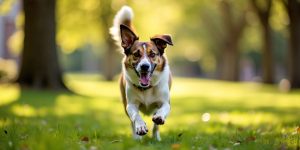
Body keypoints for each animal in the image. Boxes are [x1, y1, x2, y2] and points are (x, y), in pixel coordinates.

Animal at [109, 5, 173, 140]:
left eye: (152, 54)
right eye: (136, 54)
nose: (144, 66)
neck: (147, 88)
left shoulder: (165, 102)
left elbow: (163, 110)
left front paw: (159, 117)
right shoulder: (130, 105)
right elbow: (135, 116)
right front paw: (140, 127)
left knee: (156, 126)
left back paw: (156, 137)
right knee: (131, 121)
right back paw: (136, 138)